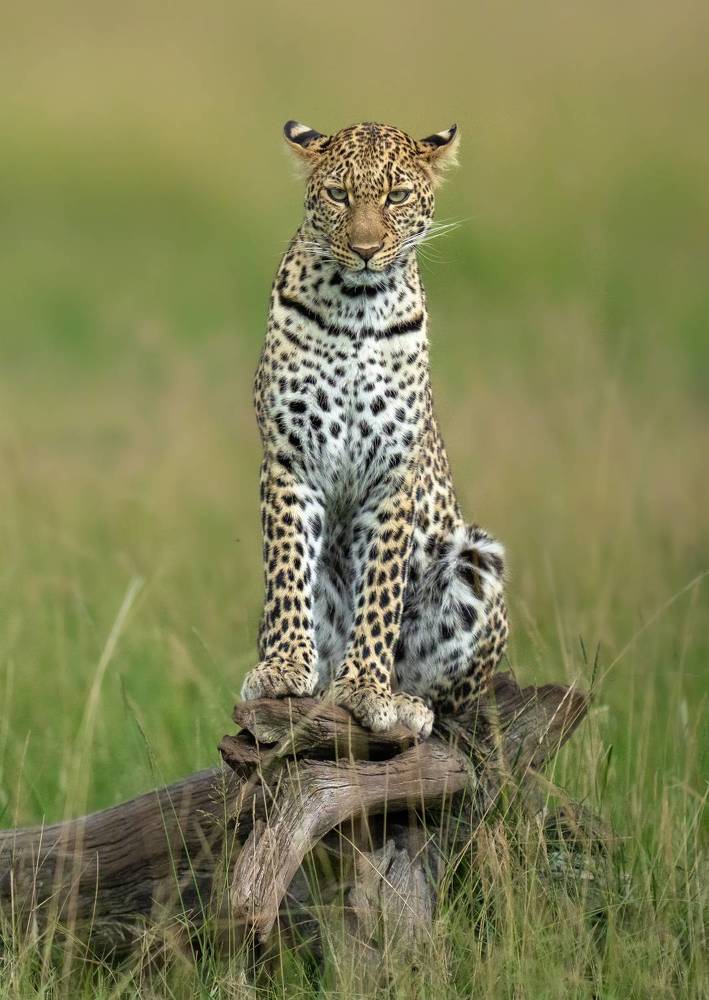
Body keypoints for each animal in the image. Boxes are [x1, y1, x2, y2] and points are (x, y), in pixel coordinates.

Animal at [240, 120, 508, 737]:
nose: (365, 250)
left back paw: (408, 703)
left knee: (448, 700)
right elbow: (288, 568)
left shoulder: (394, 475)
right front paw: (284, 666)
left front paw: (365, 688)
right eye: (338, 195)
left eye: (397, 196)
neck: (357, 306)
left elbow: (381, 589)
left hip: (476, 560)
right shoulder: (291, 460)